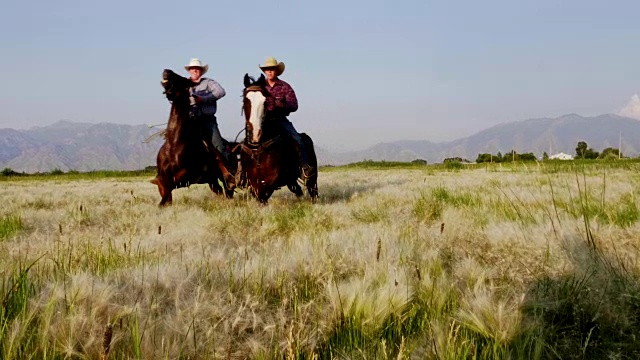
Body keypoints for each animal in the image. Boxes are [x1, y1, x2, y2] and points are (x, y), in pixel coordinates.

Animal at [150, 69, 235, 207]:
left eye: (182, 79)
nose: (167, 71)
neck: (174, 144)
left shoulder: (184, 177)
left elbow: (166, 195)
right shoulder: (162, 181)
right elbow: (165, 198)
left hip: (222, 177)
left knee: (228, 189)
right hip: (212, 180)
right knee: (221, 191)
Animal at [238, 74, 320, 204]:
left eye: (265, 102)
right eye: (246, 100)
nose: (256, 133)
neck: (258, 148)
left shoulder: (274, 178)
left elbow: (265, 191)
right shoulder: (252, 180)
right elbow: (259, 195)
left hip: (311, 177)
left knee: (312, 191)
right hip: (291, 180)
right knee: (297, 189)